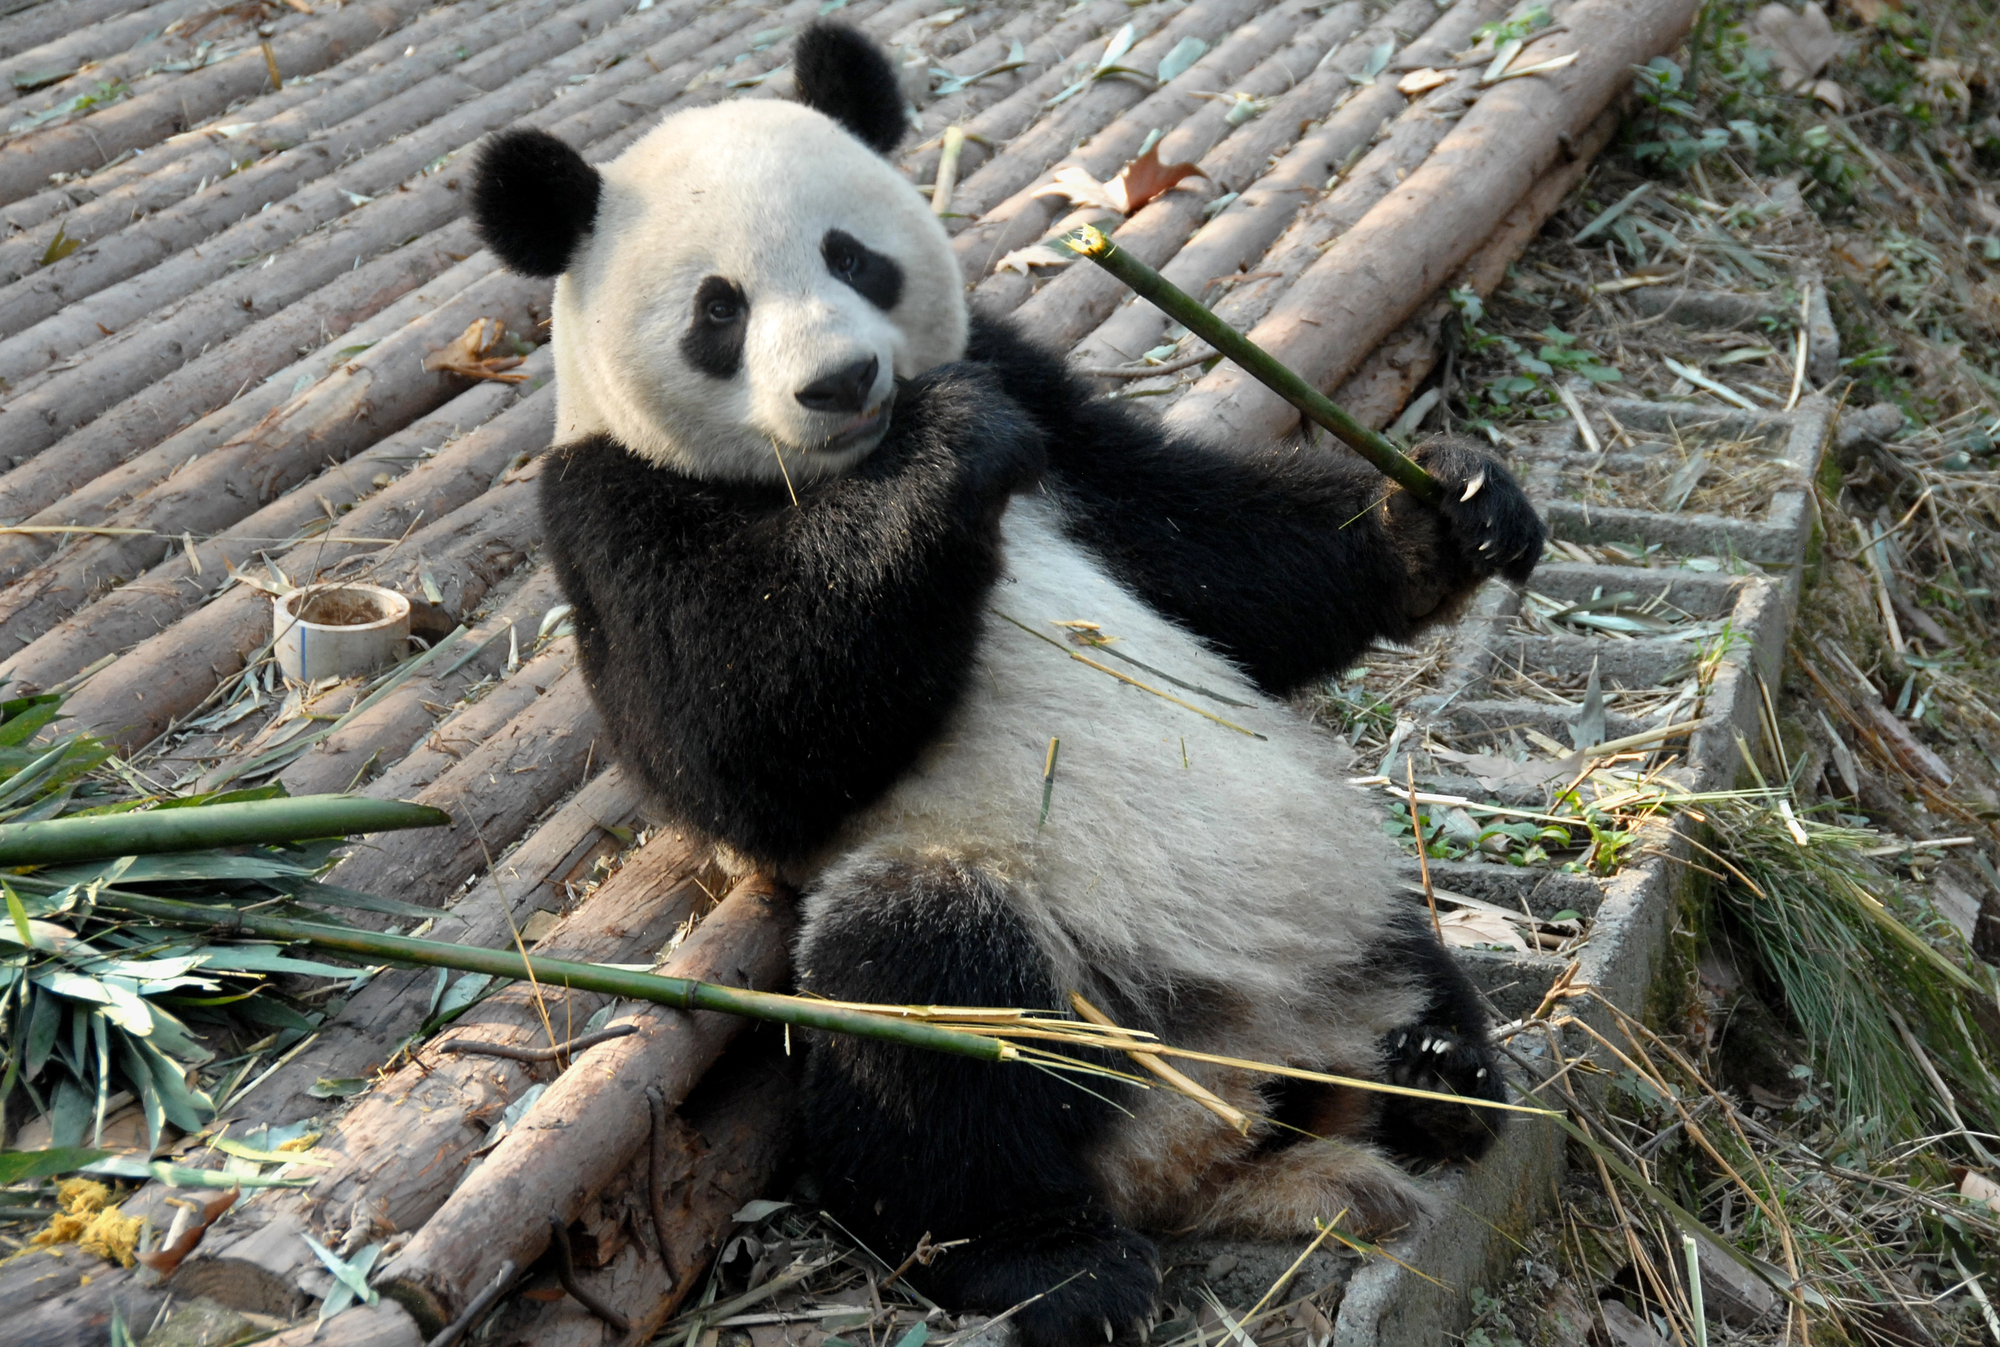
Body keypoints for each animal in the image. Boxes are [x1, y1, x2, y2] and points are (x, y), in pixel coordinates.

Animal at [470, 23, 1544, 1347]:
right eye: (717, 309)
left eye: (853, 258)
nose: (840, 383)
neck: (841, 475)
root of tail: (1203, 1124)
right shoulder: (610, 509)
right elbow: (739, 749)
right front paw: (948, 453)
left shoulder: (1048, 407)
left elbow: (1221, 563)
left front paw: (1447, 513)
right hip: (1034, 952)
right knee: (932, 1015)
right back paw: (1053, 1263)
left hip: (1324, 898)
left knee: (1399, 954)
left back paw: (1435, 1075)